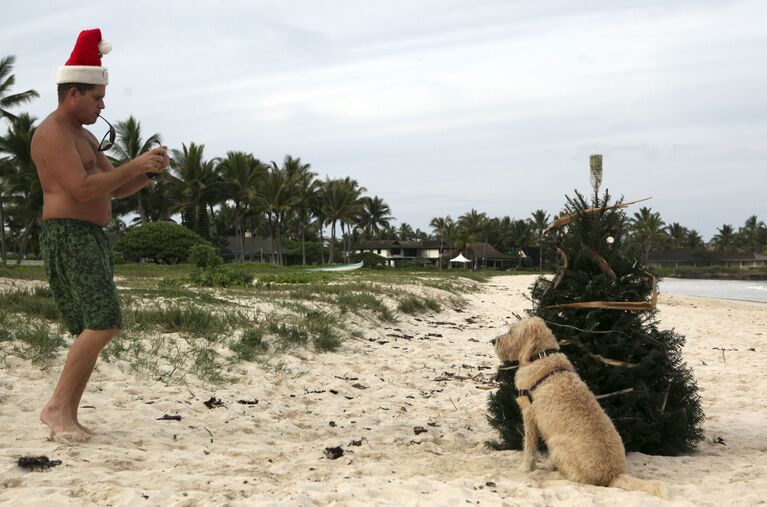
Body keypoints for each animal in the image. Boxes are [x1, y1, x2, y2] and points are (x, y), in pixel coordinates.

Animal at [496, 318, 668, 500]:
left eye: (511, 331)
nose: (493, 341)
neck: (541, 356)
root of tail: (613, 475)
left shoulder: (529, 414)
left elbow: (529, 445)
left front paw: (525, 467)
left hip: (557, 444)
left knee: (572, 478)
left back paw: (552, 475)